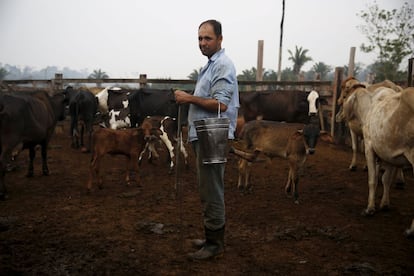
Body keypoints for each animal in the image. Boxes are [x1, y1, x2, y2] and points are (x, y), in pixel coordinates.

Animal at [360, 87, 414, 237]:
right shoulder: (390, 154)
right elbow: (386, 180)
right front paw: (384, 204)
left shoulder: (369, 144)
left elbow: (373, 179)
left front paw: (370, 208)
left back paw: (411, 231)